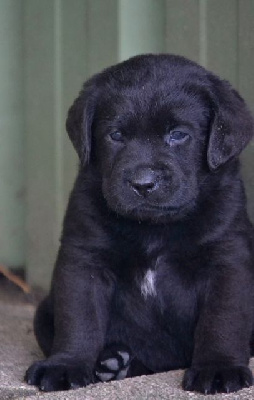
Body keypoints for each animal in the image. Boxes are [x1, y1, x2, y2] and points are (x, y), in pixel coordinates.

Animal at [25, 54, 254, 394]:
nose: (143, 183)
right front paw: (66, 364)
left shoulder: (226, 260)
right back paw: (113, 363)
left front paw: (218, 368)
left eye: (178, 134)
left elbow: (222, 319)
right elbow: (78, 317)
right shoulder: (84, 258)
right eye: (116, 135)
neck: (154, 227)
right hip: (42, 311)